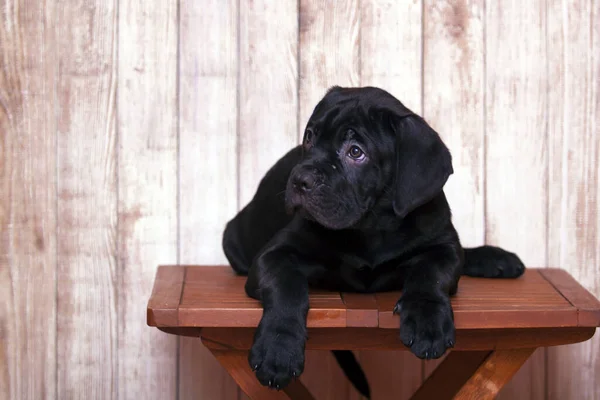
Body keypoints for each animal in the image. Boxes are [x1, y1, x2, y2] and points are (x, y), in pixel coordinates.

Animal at [221, 86, 524, 396]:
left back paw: (496, 259)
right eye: (309, 137)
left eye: (356, 152)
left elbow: (432, 274)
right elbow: (286, 285)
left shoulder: (443, 247)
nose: (300, 179)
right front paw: (278, 348)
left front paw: (427, 322)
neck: (371, 227)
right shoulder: (273, 255)